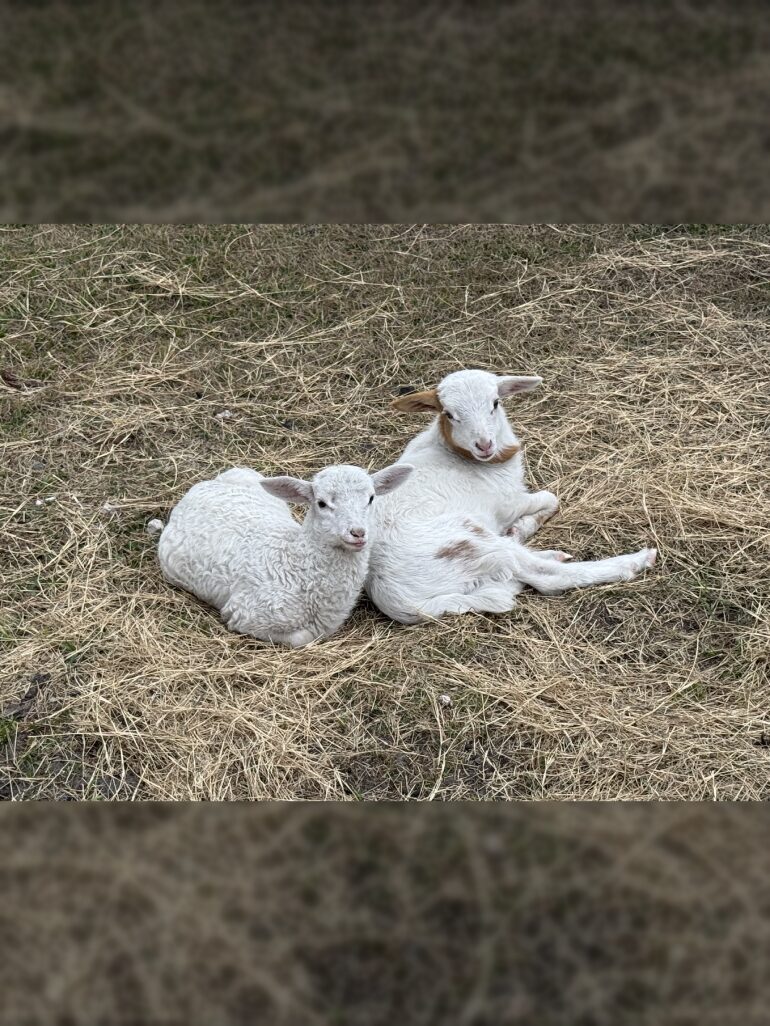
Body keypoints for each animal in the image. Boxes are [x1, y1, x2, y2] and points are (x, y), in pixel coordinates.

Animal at [157, 462, 413, 647]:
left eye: (371, 498)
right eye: (321, 503)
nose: (358, 533)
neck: (297, 566)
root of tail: (197, 491)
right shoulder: (246, 614)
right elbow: (303, 638)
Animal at [366, 369, 656, 623]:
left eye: (495, 403)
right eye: (449, 414)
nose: (484, 445)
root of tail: (398, 600)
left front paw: (518, 530)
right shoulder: (509, 502)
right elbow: (551, 498)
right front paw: (521, 526)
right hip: (471, 541)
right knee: (548, 578)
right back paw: (635, 561)